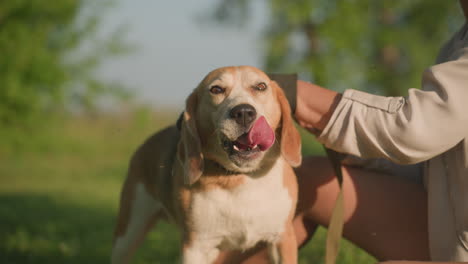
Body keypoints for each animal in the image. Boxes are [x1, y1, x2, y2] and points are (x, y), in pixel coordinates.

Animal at [111, 66, 302, 264]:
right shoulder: (195, 247)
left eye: (261, 86)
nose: (243, 112)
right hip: (128, 233)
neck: (240, 177)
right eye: (216, 89)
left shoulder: (283, 238)